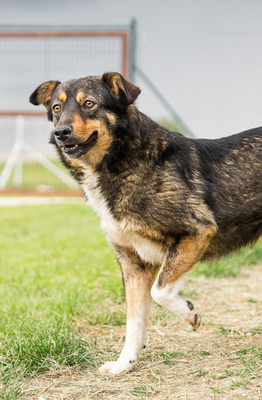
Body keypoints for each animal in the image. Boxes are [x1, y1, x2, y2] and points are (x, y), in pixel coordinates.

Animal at [29, 72, 262, 376]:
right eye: (57, 108)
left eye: (89, 104)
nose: (61, 132)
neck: (123, 161)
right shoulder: (133, 264)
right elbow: (134, 321)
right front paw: (124, 364)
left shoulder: (197, 232)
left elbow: (160, 291)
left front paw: (189, 313)